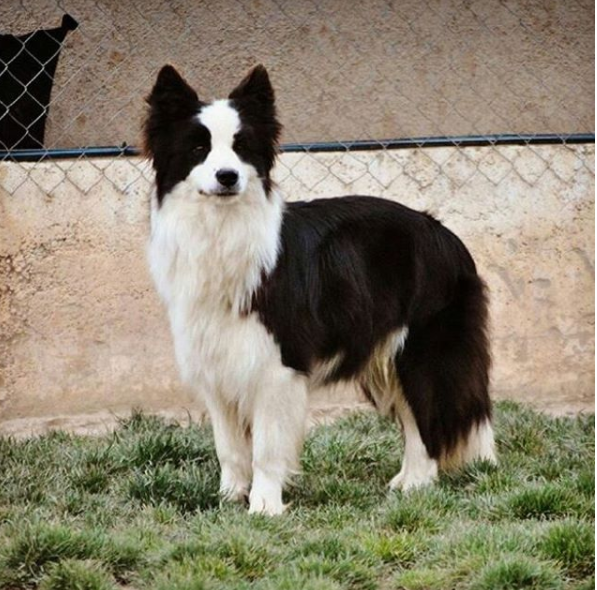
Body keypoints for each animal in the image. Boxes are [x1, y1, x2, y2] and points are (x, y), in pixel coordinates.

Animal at [143, 66, 494, 520]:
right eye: (199, 147)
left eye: (241, 147)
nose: (227, 176)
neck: (223, 229)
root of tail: (446, 235)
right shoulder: (216, 362)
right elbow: (229, 448)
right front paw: (227, 499)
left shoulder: (277, 365)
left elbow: (266, 448)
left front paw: (264, 506)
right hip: (387, 358)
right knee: (414, 418)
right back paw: (406, 483)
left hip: (422, 349)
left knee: (429, 416)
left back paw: (421, 484)